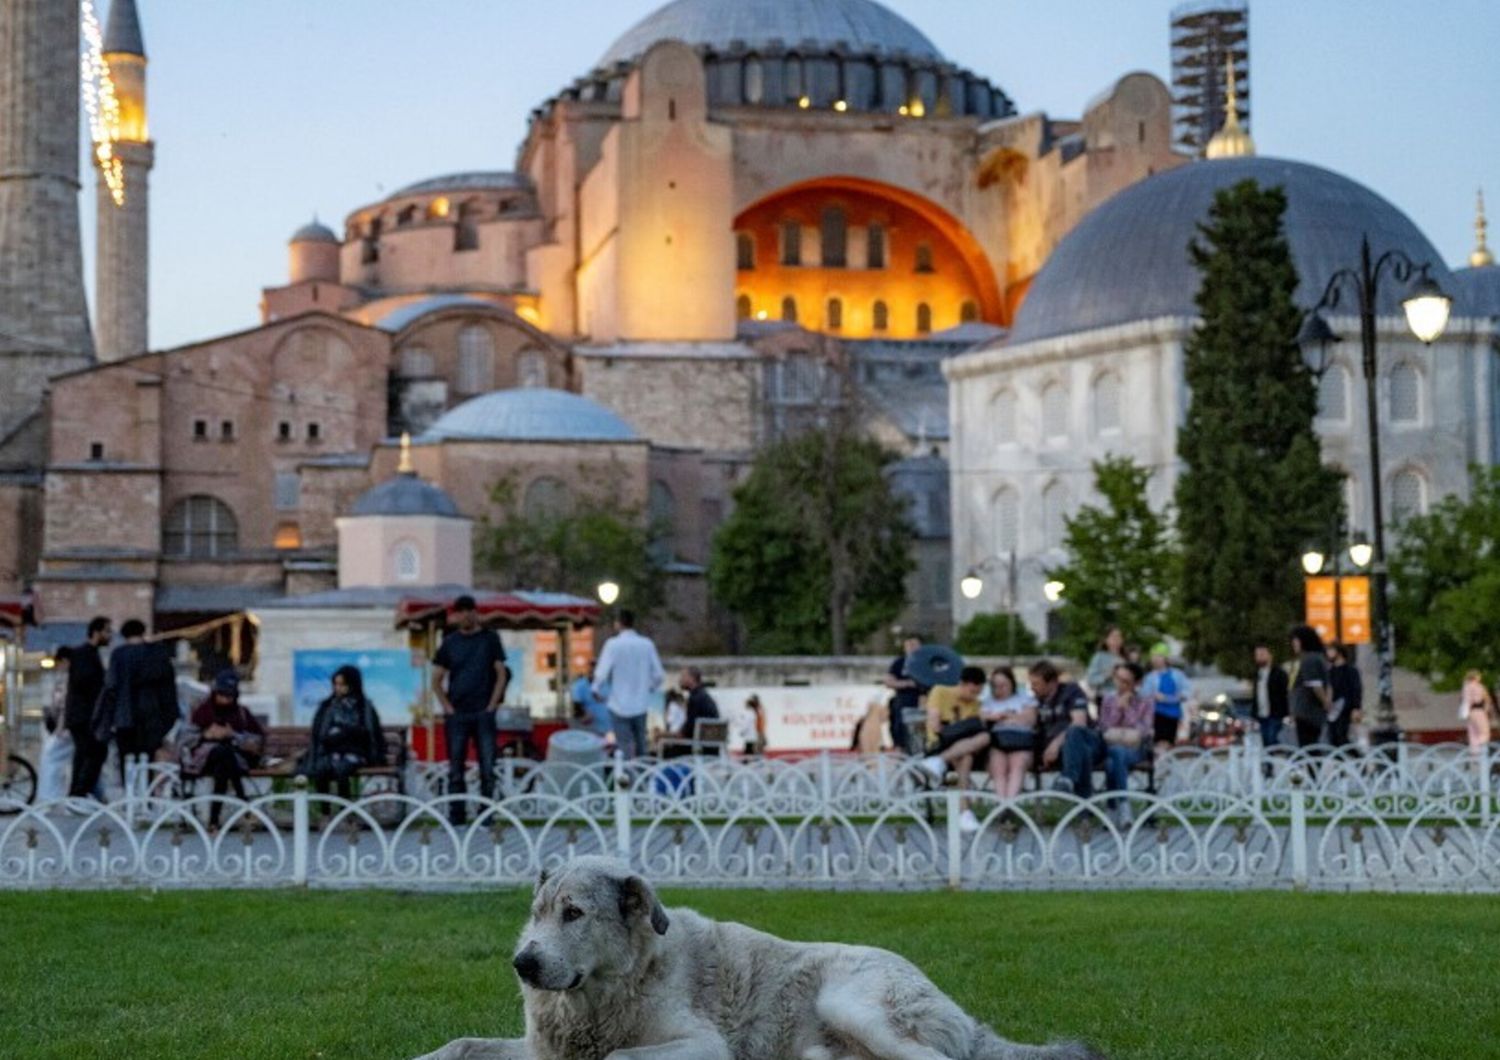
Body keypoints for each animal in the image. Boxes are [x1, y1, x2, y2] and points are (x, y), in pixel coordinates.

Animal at [414, 857, 1104, 1060]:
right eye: (537, 912)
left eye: (575, 914)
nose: (524, 964)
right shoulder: (539, 1053)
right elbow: (458, 1046)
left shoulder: (701, 1046)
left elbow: (616, 1057)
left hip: (854, 1002)